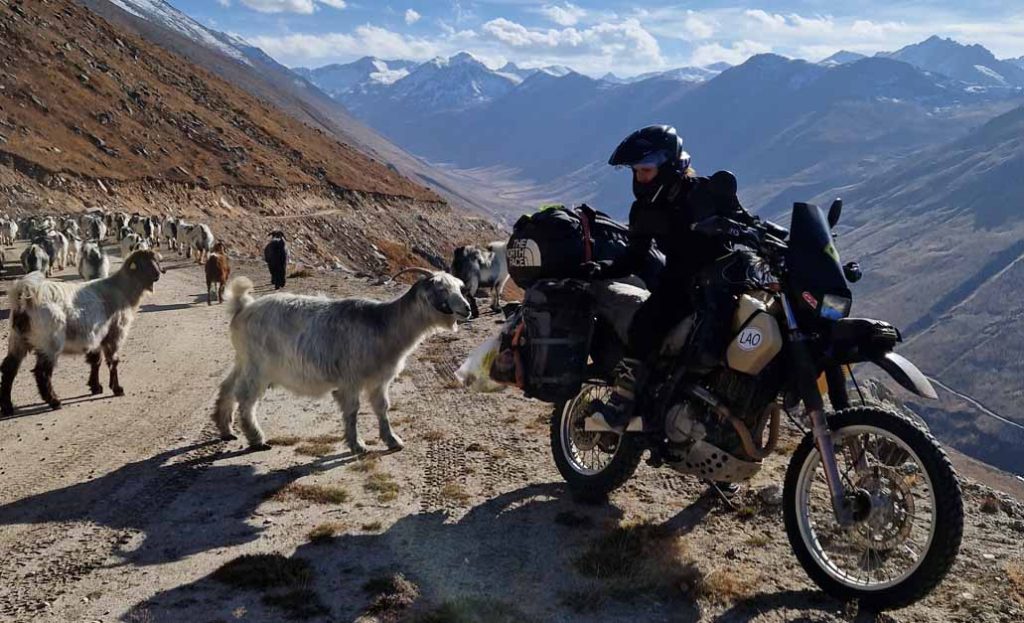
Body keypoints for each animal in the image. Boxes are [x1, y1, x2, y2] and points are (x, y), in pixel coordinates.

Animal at [0, 247, 163, 413]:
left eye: (156, 260)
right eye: (144, 263)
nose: (157, 274)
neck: (121, 289)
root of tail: (24, 298)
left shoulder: (96, 337)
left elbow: (95, 361)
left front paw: (96, 387)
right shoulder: (115, 333)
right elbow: (113, 361)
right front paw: (117, 389)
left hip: (18, 340)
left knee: (9, 369)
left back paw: (7, 406)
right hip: (50, 342)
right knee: (42, 372)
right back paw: (54, 401)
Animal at [218, 268, 473, 452]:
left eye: (459, 288)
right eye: (441, 289)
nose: (468, 309)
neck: (384, 324)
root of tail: (243, 307)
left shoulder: (379, 380)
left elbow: (382, 408)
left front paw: (392, 440)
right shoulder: (350, 380)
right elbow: (352, 410)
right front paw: (357, 444)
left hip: (243, 360)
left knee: (227, 387)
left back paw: (225, 428)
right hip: (258, 367)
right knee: (246, 398)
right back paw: (256, 438)